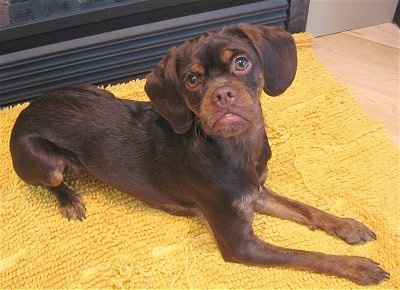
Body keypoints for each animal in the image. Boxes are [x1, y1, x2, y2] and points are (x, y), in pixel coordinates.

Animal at [10, 23, 390, 286]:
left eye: (241, 62)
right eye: (192, 80)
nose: (222, 95)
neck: (237, 149)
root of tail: (25, 110)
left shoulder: (256, 192)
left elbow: (307, 209)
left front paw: (348, 226)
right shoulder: (239, 244)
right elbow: (306, 254)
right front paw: (358, 266)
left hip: (100, 92)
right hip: (45, 163)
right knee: (53, 182)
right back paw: (69, 200)